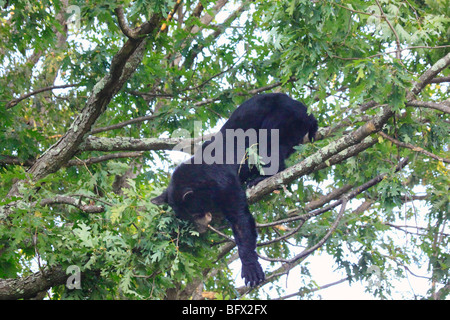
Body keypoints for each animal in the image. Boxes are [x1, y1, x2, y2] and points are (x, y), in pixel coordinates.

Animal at [152, 93, 320, 288]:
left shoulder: (225, 183)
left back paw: (261, 178)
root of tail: (304, 108)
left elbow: (240, 220)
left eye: (194, 214)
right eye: (186, 218)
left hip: (285, 117)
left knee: (271, 142)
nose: (201, 229)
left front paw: (250, 268)